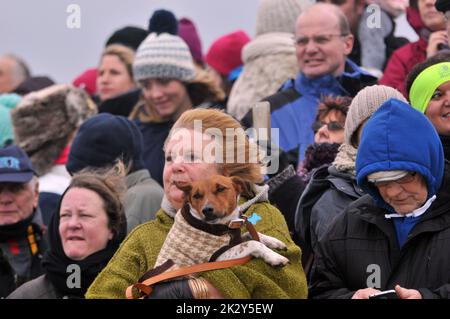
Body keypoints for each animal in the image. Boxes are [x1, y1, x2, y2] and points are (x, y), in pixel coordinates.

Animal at [153, 174, 290, 272]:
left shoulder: (236, 240)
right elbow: (253, 243)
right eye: (196, 196)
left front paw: (274, 241)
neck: (225, 225)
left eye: (220, 189)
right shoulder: (219, 257)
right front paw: (275, 257)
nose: (207, 210)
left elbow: (253, 235)